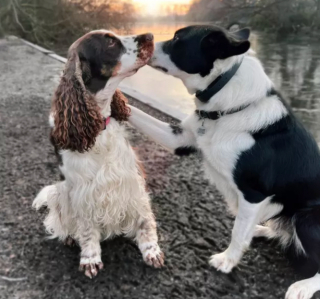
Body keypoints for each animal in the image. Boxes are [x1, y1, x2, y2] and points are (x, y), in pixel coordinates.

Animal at [32, 30, 164, 278]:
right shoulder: (81, 192)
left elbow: (144, 220)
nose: (151, 35)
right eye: (110, 42)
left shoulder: (131, 181)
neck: (98, 126)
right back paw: (69, 238)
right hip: (60, 193)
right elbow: (86, 229)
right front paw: (90, 258)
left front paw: (151, 250)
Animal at [129, 25, 320, 299]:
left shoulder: (253, 193)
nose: (145, 43)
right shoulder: (180, 139)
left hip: (308, 218)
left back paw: (303, 286)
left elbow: (238, 233)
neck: (224, 93)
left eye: (178, 39)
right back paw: (263, 229)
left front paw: (227, 262)